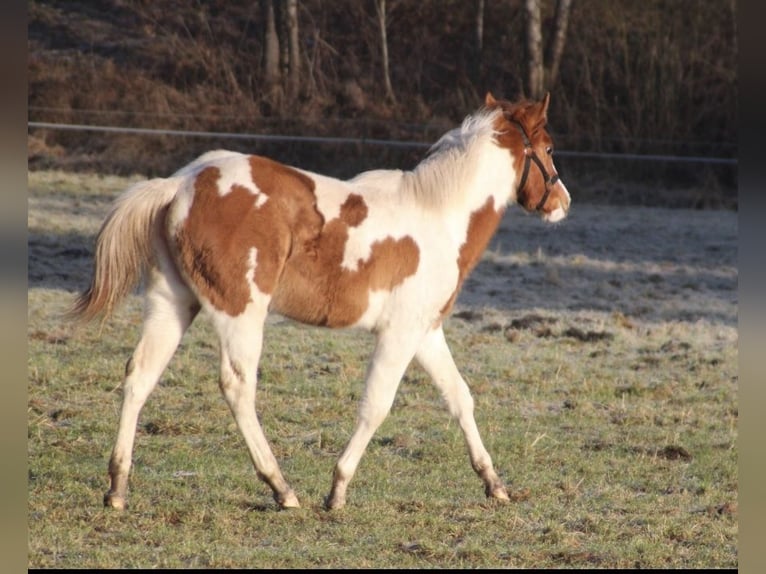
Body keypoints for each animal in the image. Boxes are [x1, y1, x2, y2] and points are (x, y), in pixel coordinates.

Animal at [70, 92, 571, 511]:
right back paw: (281, 489)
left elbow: (459, 397)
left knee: (140, 375)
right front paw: (337, 491)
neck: (439, 216)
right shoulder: (400, 334)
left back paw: (117, 488)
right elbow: (377, 405)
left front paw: (494, 484)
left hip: (172, 303)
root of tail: (181, 184)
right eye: (548, 149)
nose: (562, 203)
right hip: (241, 313)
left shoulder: (427, 332)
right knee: (237, 386)